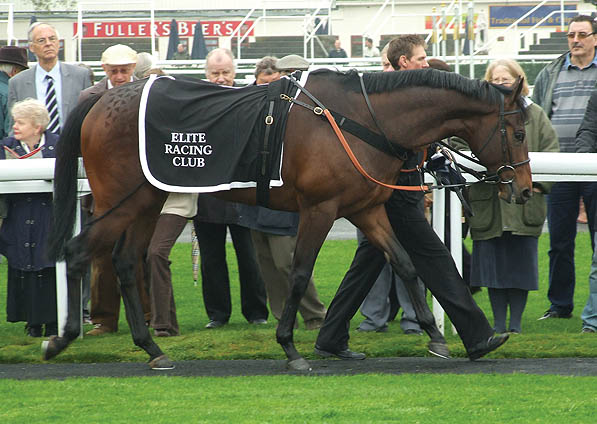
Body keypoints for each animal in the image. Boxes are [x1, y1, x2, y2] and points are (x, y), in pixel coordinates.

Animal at [46, 68, 532, 372]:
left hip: (149, 198)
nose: (524, 189)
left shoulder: (366, 208)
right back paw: (62, 338)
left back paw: (152, 349)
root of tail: (101, 97)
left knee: (127, 262)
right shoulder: (320, 208)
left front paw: (440, 336)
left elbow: (407, 263)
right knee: (78, 250)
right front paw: (291, 348)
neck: (359, 119)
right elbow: (299, 273)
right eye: (518, 131)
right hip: (121, 199)